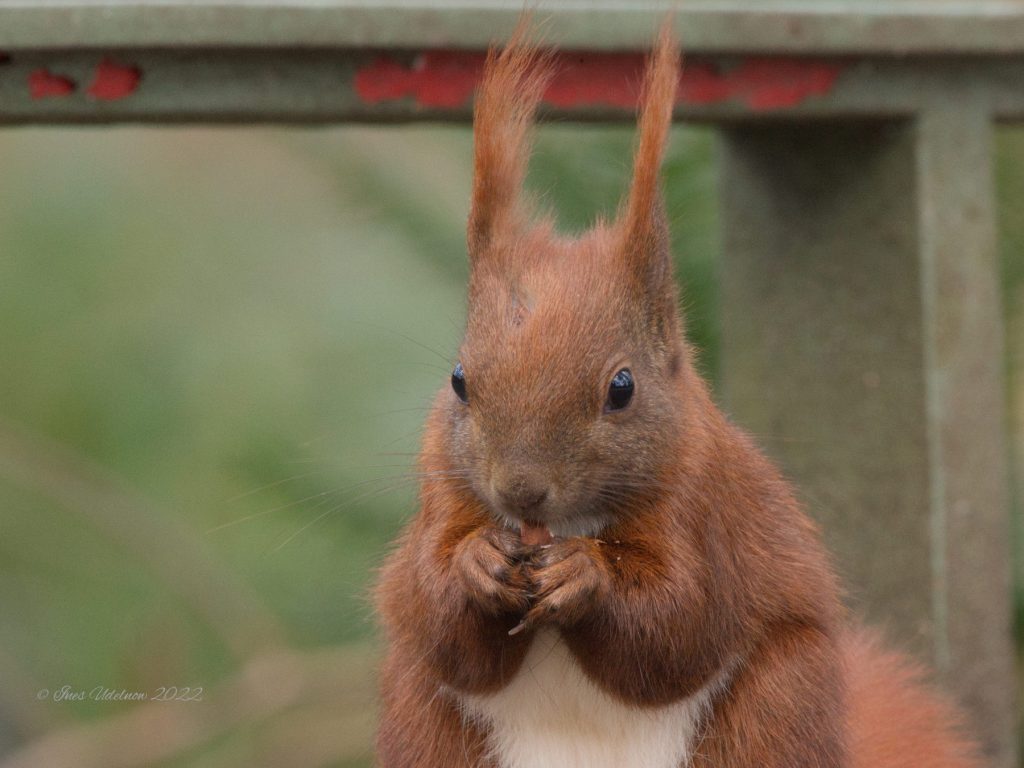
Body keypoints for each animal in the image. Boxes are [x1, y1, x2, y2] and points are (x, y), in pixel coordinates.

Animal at [374, 18, 984, 768]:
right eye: (459, 381)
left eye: (622, 388)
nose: (520, 492)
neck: (567, 526)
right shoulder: (442, 495)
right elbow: (433, 614)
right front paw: (476, 563)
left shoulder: (705, 508)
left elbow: (679, 625)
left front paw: (587, 576)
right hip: (424, 721)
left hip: (774, 707)